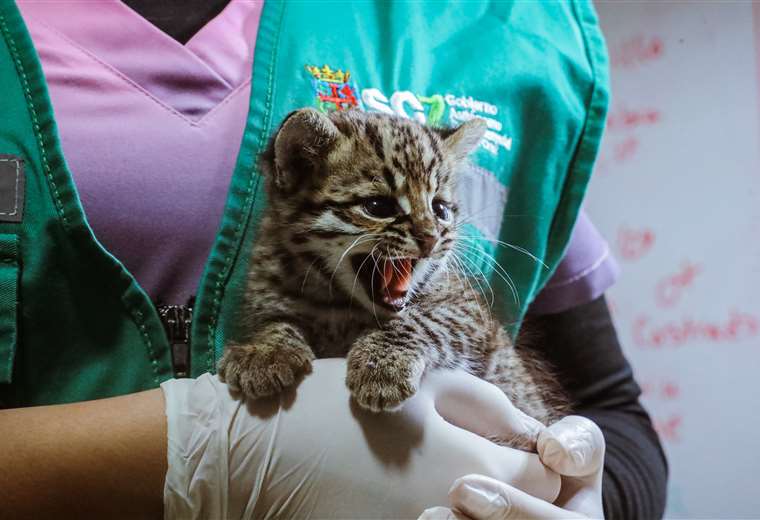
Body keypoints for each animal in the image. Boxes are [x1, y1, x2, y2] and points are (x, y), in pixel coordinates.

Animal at [217, 108, 568, 446]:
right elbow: (273, 318)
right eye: (377, 206)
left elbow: (421, 319)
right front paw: (264, 351)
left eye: (440, 209)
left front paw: (381, 363)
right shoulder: (266, 286)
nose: (431, 238)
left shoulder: (469, 313)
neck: (338, 301)